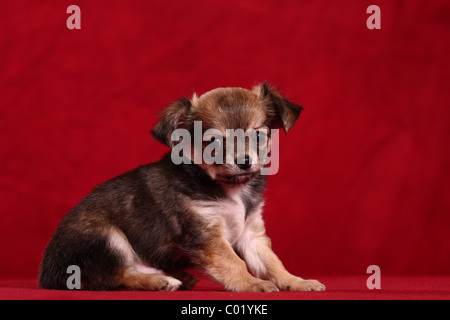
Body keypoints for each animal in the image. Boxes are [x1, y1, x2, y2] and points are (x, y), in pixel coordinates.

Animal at [38, 82, 326, 292]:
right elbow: (233, 262)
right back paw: (160, 281)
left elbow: (272, 262)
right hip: (106, 237)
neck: (228, 188)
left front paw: (296, 282)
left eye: (258, 136)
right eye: (213, 142)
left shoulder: (251, 233)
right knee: (115, 276)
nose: (244, 162)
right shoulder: (207, 235)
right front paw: (252, 283)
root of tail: (46, 275)